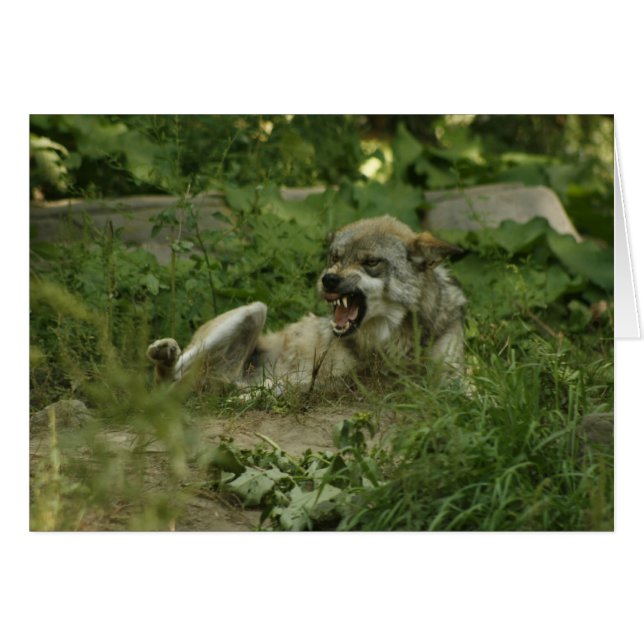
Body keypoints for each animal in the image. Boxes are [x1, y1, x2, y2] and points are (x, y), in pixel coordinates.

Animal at [147, 215, 466, 393]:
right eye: (335, 257)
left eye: (370, 262)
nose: (328, 280)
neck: (392, 341)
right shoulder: (331, 378)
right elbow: (302, 385)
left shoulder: (453, 376)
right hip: (253, 311)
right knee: (166, 377)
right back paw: (167, 353)